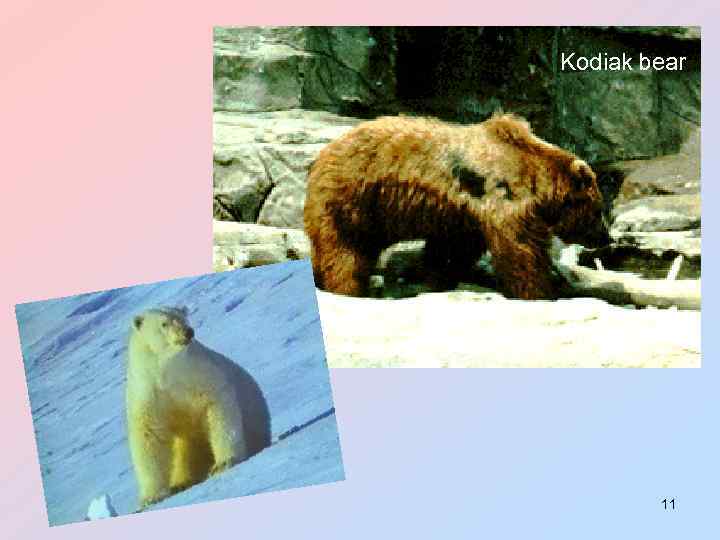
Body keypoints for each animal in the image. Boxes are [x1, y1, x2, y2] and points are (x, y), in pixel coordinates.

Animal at [125, 307, 271, 509]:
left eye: (183, 317)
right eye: (164, 323)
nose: (188, 332)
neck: (168, 372)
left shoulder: (199, 373)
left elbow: (218, 407)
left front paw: (224, 463)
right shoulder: (147, 391)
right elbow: (149, 435)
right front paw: (151, 497)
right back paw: (179, 483)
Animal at [303, 113, 610, 299]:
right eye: (598, 210)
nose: (606, 237)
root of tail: (321, 158)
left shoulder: (462, 218)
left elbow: (449, 254)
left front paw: (436, 281)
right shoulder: (502, 201)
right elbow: (521, 252)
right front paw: (540, 291)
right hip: (350, 199)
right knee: (345, 253)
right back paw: (348, 289)